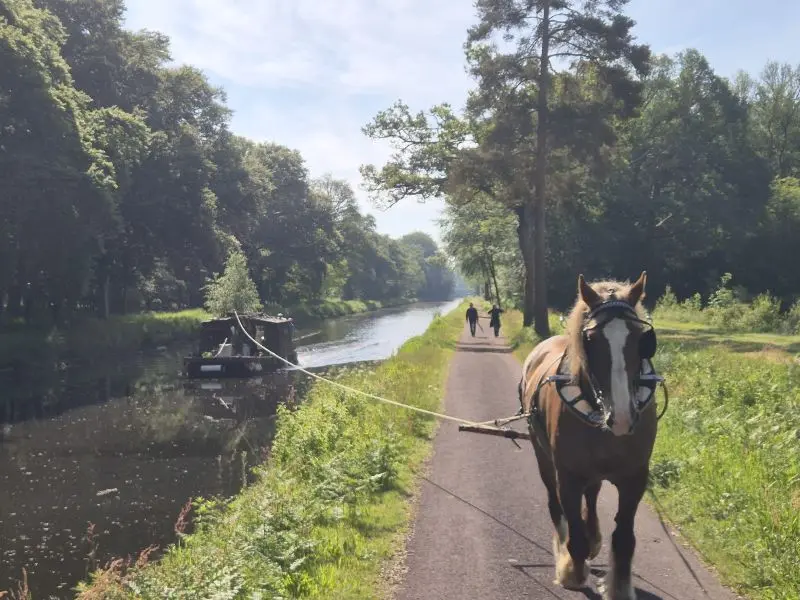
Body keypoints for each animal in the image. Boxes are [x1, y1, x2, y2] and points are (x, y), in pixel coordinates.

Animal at [519, 271, 661, 600]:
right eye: (591, 340)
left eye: (641, 339)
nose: (622, 417)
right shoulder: (568, 476)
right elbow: (575, 533)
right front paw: (572, 570)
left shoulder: (635, 477)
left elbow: (624, 539)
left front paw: (619, 587)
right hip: (542, 456)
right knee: (554, 504)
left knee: (593, 494)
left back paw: (594, 534)